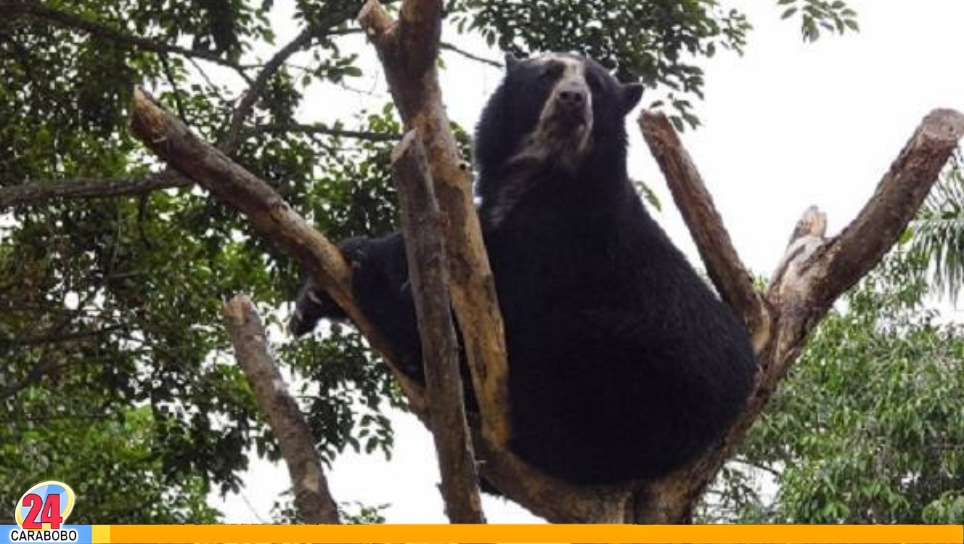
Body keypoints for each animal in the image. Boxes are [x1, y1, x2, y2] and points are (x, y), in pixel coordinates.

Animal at [290, 53, 757, 486]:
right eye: (547, 75)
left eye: (597, 86)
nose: (573, 100)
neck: (543, 170)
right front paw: (317, 294)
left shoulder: (566, 238)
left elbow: (503, 293)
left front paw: (371, 279)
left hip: (635, 378)